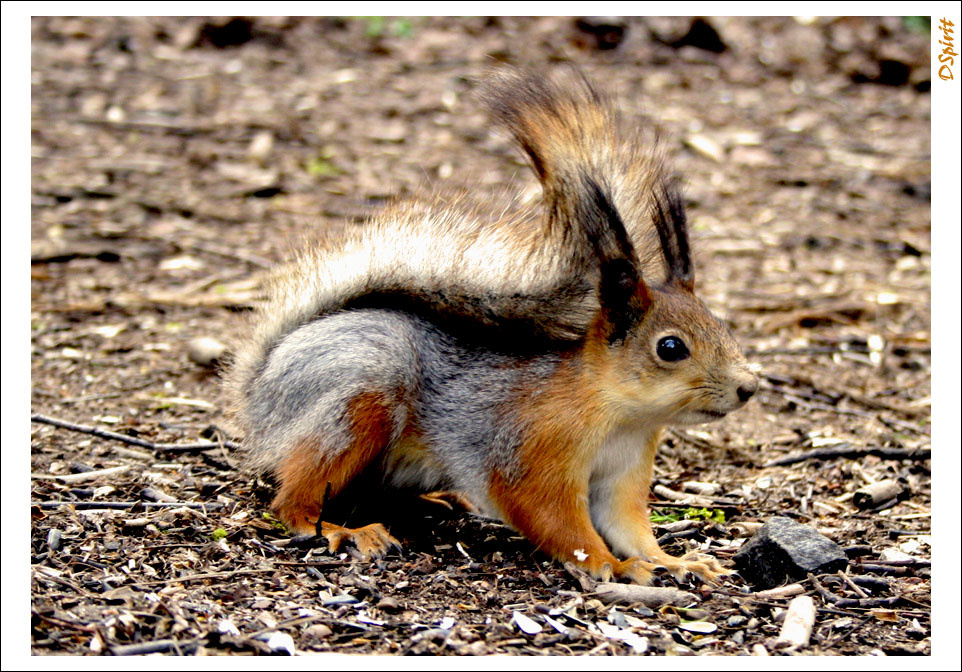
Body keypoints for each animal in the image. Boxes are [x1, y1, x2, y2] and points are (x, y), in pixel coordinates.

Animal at [225, 68, 758, 585]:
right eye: (670, 348)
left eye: (724, 327)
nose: (748, 388)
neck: (619, 414)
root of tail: (260, 386)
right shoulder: (529, 450)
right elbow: (555, 519)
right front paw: (613, 565)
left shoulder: (623, 473)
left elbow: (629, 526)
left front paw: (675, 562)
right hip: (357, 399)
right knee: (295, 497)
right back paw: (341, 529)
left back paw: (436, 500)